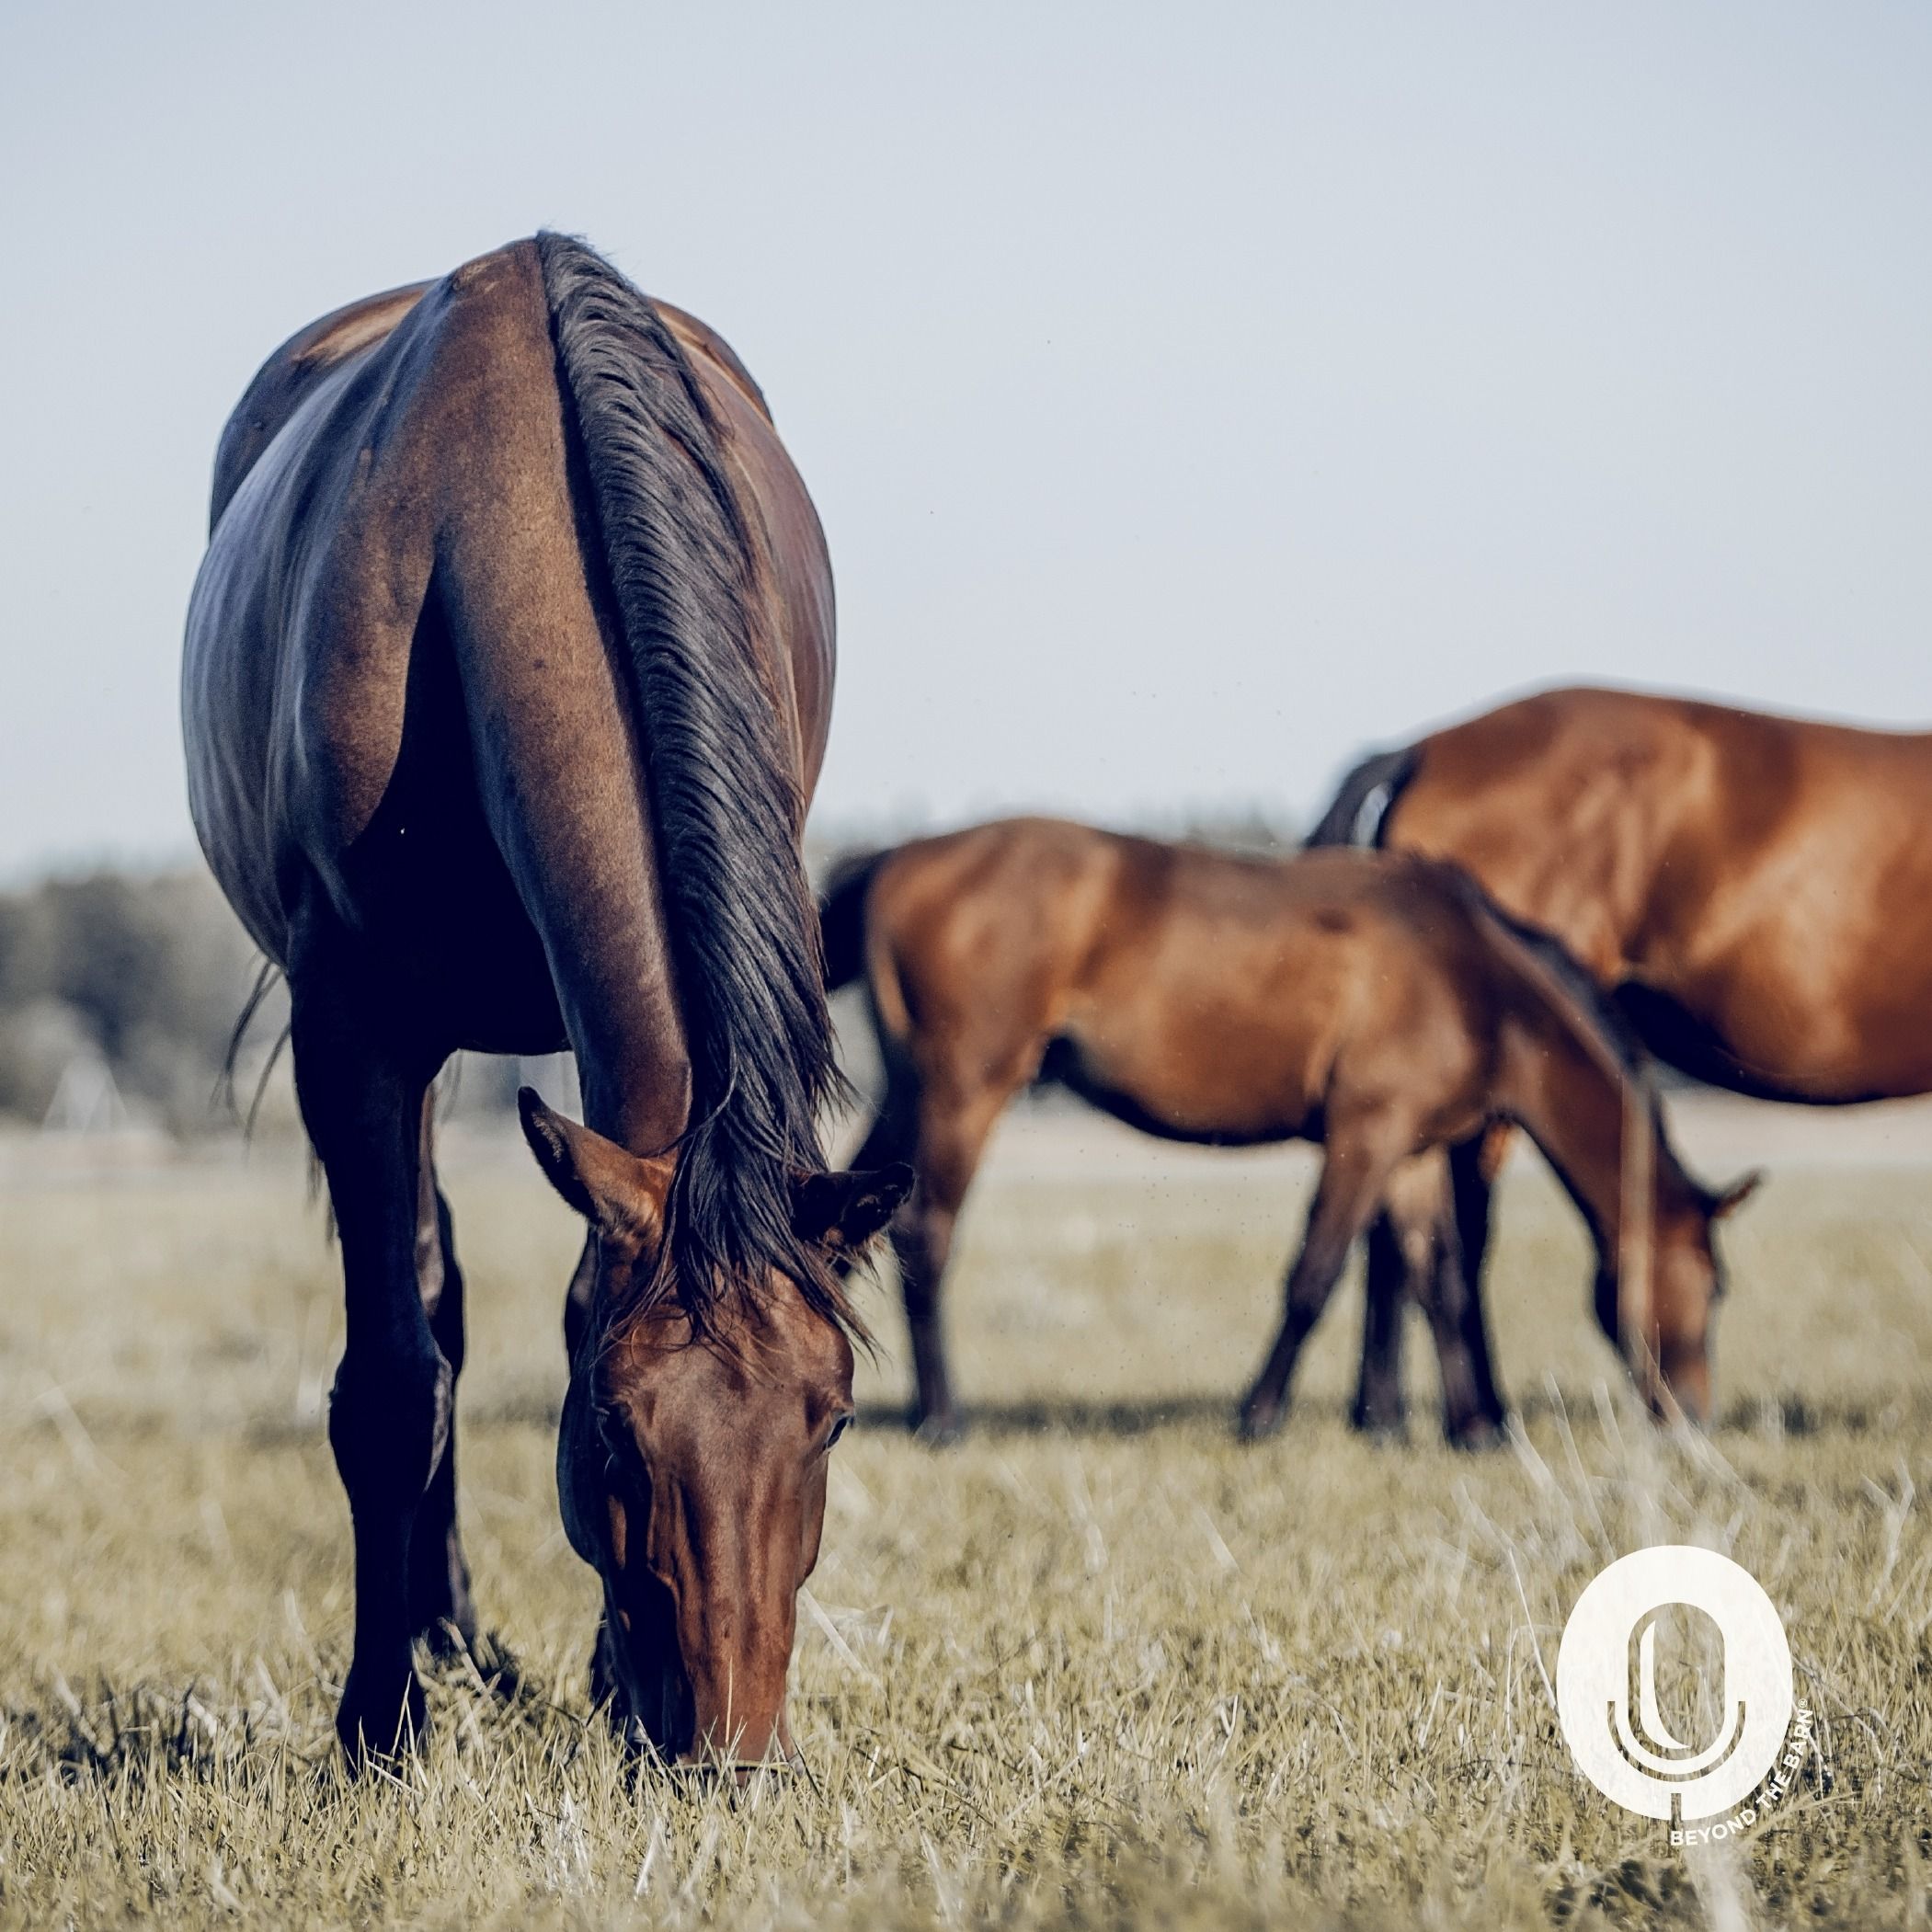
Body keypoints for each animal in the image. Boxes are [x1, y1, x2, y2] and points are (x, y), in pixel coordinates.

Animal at [183, 234, 909, 1769]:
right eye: (616, 1432)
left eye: (829, 1421)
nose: (728, 1753)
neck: (500, 531)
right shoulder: (356, 1029)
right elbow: (393, 1380)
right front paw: (379, 1723)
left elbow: (562, 1297)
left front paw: (603, 1680)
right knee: (428, 1301)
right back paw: (444, 1644)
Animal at [819, 817, 1753, 1444]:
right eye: (1712, 1286)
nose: (1693, 1418)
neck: (1476, 975)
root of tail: (898, 857)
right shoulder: (1365, 1132)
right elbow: (1315, 1273)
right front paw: (1258, 1416)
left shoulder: (1411, 1149)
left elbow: (1440, 1277)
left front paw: (1473, 1430)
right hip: (962, 1092)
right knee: (924, 1230)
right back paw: (943, 1419)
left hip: (910, 1090)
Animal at [1309, 683, 1911, 1424]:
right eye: (1716, 1287)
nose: (1692, 1416)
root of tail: (1423, 749)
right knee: (1447, 1228)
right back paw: (1463, 1414)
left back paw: (1385, 1414)